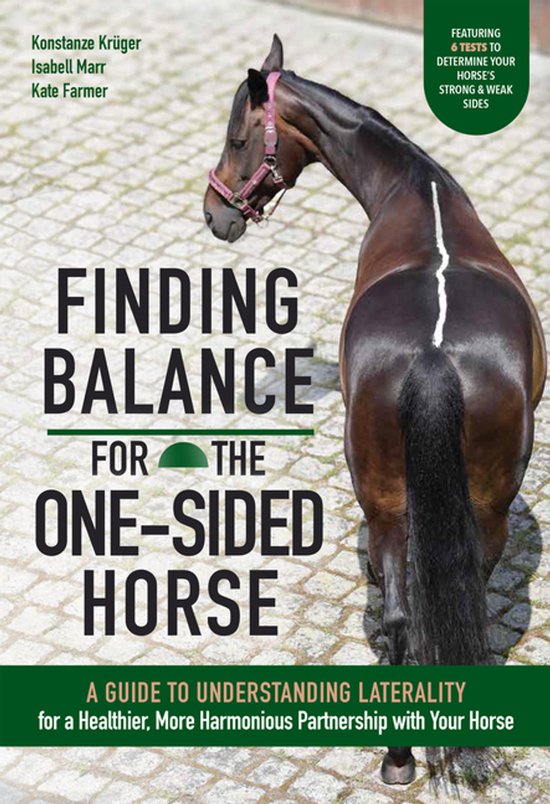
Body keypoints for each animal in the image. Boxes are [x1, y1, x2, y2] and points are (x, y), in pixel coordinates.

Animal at [203, 35, 546, 784]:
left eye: (238, 138)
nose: (215, 215)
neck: (417, 192)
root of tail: (433, 359)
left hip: (404, 507)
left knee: (408, 616)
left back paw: (401, 756)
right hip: (445, 510)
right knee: (425, 612)